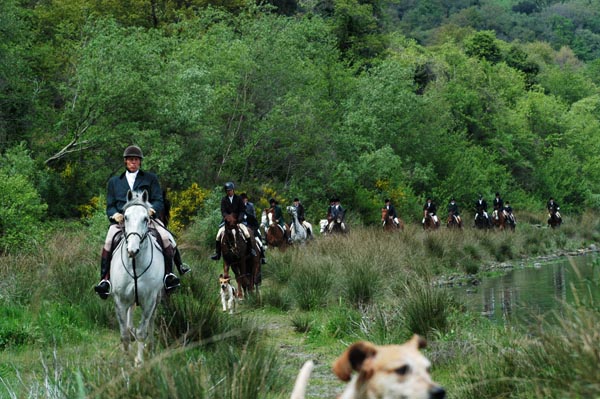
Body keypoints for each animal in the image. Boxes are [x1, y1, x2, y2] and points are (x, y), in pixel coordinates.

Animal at [110, 189, 163, 368]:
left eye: (146, 218)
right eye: (125, 217)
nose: (132, 250)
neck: (134, 264)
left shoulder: (149, 300)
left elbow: (142, 331)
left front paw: (139, 361)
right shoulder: (120, 300)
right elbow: (124, 333)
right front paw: (125, 360)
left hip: (157, 298)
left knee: (151, 322)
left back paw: (151, 347)